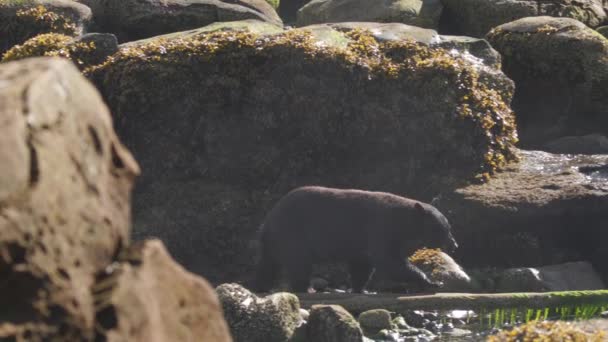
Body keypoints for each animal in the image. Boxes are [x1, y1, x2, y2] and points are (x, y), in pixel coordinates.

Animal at [254, 186, 458, 292]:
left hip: (274, 241)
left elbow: (363, 264)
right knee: (299, 263)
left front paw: (361, 288)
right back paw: (304, 288)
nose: (454, 244)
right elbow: (388, 260)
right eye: (444, 229)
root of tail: (268, 220)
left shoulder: (363, 241)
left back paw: (262, 286)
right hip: (294, 233)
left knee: (267, 265)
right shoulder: (381, 228)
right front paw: (431, 281)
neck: (404, 223)